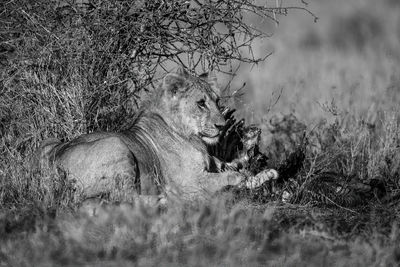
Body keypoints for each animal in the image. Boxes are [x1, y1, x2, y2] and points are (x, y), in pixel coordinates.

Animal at [39, 69, 278, 205]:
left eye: (217, 102)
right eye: (201, 103)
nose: (222, 125)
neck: (192, 137)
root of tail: (52, 161)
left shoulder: (214, 163)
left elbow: (232, 167)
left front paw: (264, 174)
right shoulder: (190, 180)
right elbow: (231, 176)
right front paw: (246, 179)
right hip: (115, 145)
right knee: (124, 197)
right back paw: (165, 198)